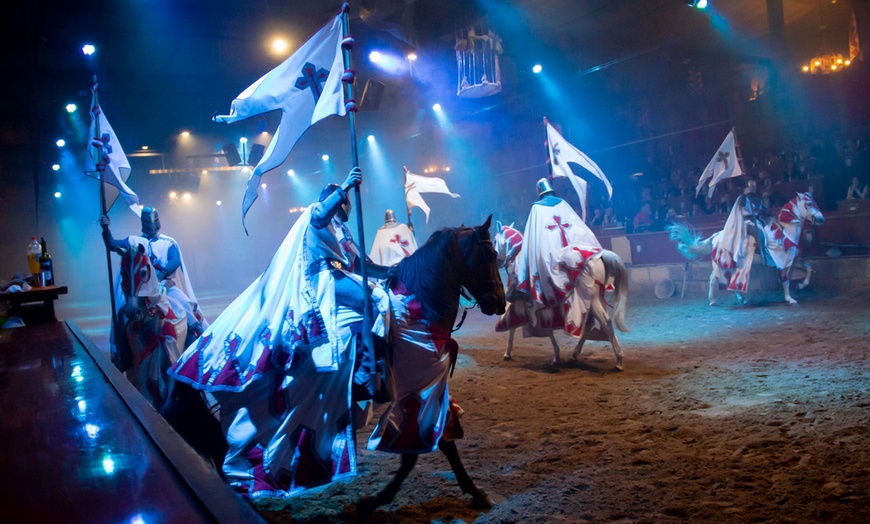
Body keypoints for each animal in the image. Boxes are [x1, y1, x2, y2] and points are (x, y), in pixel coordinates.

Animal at [494, 222, 632, 372]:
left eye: (494, 241)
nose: (497, 261)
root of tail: (601, 255)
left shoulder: (525, 303)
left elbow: (513, 324)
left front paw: (508, 353)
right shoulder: (542, 307)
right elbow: (541, 327)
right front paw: (556, 356)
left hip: (592, 299)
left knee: (605, 323)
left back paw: (619, 360)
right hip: (596, 298)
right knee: (590, 324)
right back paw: (574, 355)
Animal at [672, 192, 828, 308]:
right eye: (809, 204)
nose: (821, 219)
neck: (786, 232)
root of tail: (715, 236)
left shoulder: (794, 258)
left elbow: (809, 268)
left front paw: (801, 285)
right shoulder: (783, 262)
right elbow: (785, 280)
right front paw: (790, 299)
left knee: (719, 280)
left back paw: (732, 299)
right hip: (722, 265)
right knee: (715, 280)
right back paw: (716, 300)